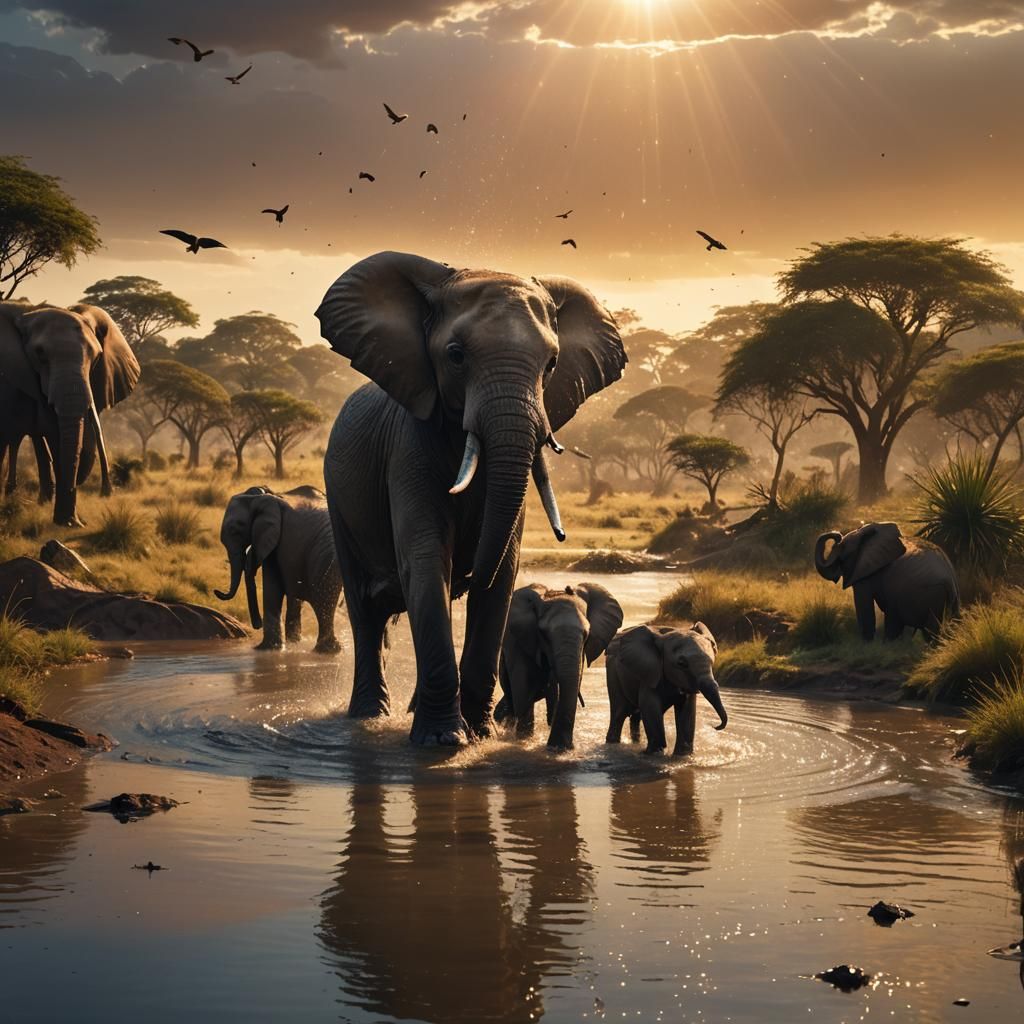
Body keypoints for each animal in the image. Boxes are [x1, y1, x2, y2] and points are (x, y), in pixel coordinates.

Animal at [213, 485, 343, 652]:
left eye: (234, 531)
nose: (216, 591)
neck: (261, 497)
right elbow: (293, 596)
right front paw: (292, 644)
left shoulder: (275, 537)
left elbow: (272, 587)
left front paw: (265, 649)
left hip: (324, 556)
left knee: (322, 600)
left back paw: (325, 651)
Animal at [494, 582, 623, 749]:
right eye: (543, 633)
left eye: (586, 634)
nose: (564, 746)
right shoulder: (519, 639)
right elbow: (524, 688)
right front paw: (524, 740)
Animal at [605, 622, 728, 756]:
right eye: (682, 664)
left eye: (712, 662)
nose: (716, 726)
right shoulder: (650, 673)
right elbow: (650, 707)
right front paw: (654, 754)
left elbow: (687, 712)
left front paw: (682, 756)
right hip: (613, 673)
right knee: (619, 712)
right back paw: (612, 744)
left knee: (636, 717)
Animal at [814, 522, 960, 641]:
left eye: (843, 558)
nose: (836, 534)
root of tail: (949, 581)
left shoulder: (865, 572)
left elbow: (864, 607)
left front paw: (867, 645)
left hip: (928, 595)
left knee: (923, 629)